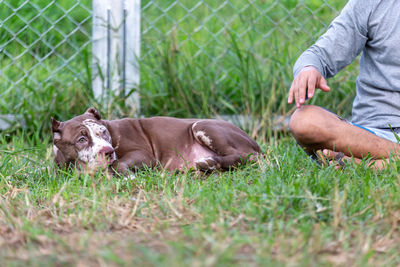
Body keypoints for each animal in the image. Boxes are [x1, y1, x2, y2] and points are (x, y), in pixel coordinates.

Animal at [51, 108, 260, 175]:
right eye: (81, 139)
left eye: (104, 133)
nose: (108, 151)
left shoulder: (144, 156)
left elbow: (118, 164)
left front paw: (127, 175)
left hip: (204, 126)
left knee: (243, 156)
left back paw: (209, 162)